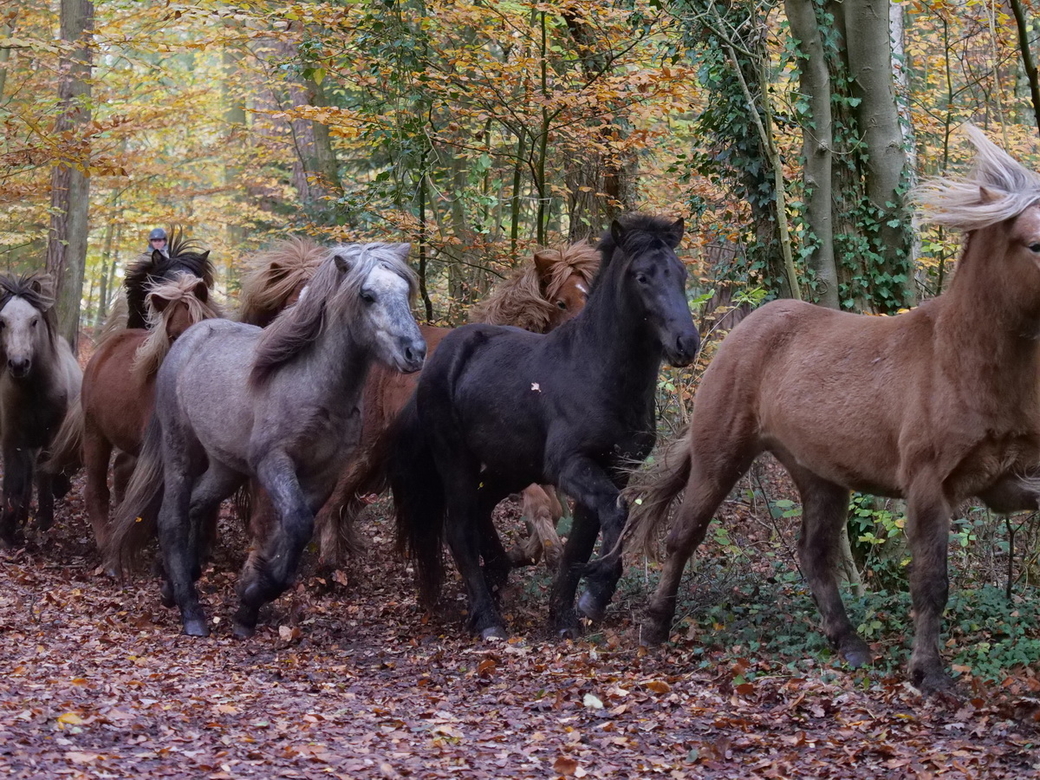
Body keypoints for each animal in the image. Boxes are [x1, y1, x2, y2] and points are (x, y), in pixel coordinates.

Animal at [0, 274, 81, 544]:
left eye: (33, 321)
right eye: (2, 322)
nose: (18, 364)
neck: (35, 392)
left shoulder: (52, 435)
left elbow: (45, 471)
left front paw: (44, 519)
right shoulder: (13, 437)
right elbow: (15, 479)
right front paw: (10, 529)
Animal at [46, 274, 223, 557]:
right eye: (172, 335)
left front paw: (205, 547)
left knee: (121, 473)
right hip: (95, 434)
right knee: (96, 490)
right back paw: (107, 542)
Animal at [109, 244, 426, 640]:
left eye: (406, 290)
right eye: (366, 296)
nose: (415, 352)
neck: (313, 386)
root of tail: (187, 339)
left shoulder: (324, 475)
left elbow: (287, 534)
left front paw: (248, 605)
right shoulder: (274, 463)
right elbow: (296, 524)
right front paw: (254, 595)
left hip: (226, 467)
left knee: (196, 504)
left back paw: (171, 587)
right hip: (180, 448)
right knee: (172, 518)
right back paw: (189, 609)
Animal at [393, 215, 703, 640]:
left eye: (681, 273)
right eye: (642, 277)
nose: (686, 343)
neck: (595, 372)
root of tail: (439, 356)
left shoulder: (615, 468)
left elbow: (581, 543)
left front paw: (566, 613)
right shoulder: (570, 465)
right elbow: (615, 514)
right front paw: (597, 588)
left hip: (512, 466)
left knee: (482, 506)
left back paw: (500, 572)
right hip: (456, 460)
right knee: (459, 529)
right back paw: (488, 618)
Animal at [619, 125, 1040, 694]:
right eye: (1035, 244)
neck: (965, 363)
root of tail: (741, 331)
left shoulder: (1008, 481)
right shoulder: (928, 486)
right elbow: (931, 582)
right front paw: (928, 672)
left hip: (820, 476)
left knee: (814, 554)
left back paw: (849, 642)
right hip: (720, 457)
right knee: (685, 536)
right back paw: (656, 626)